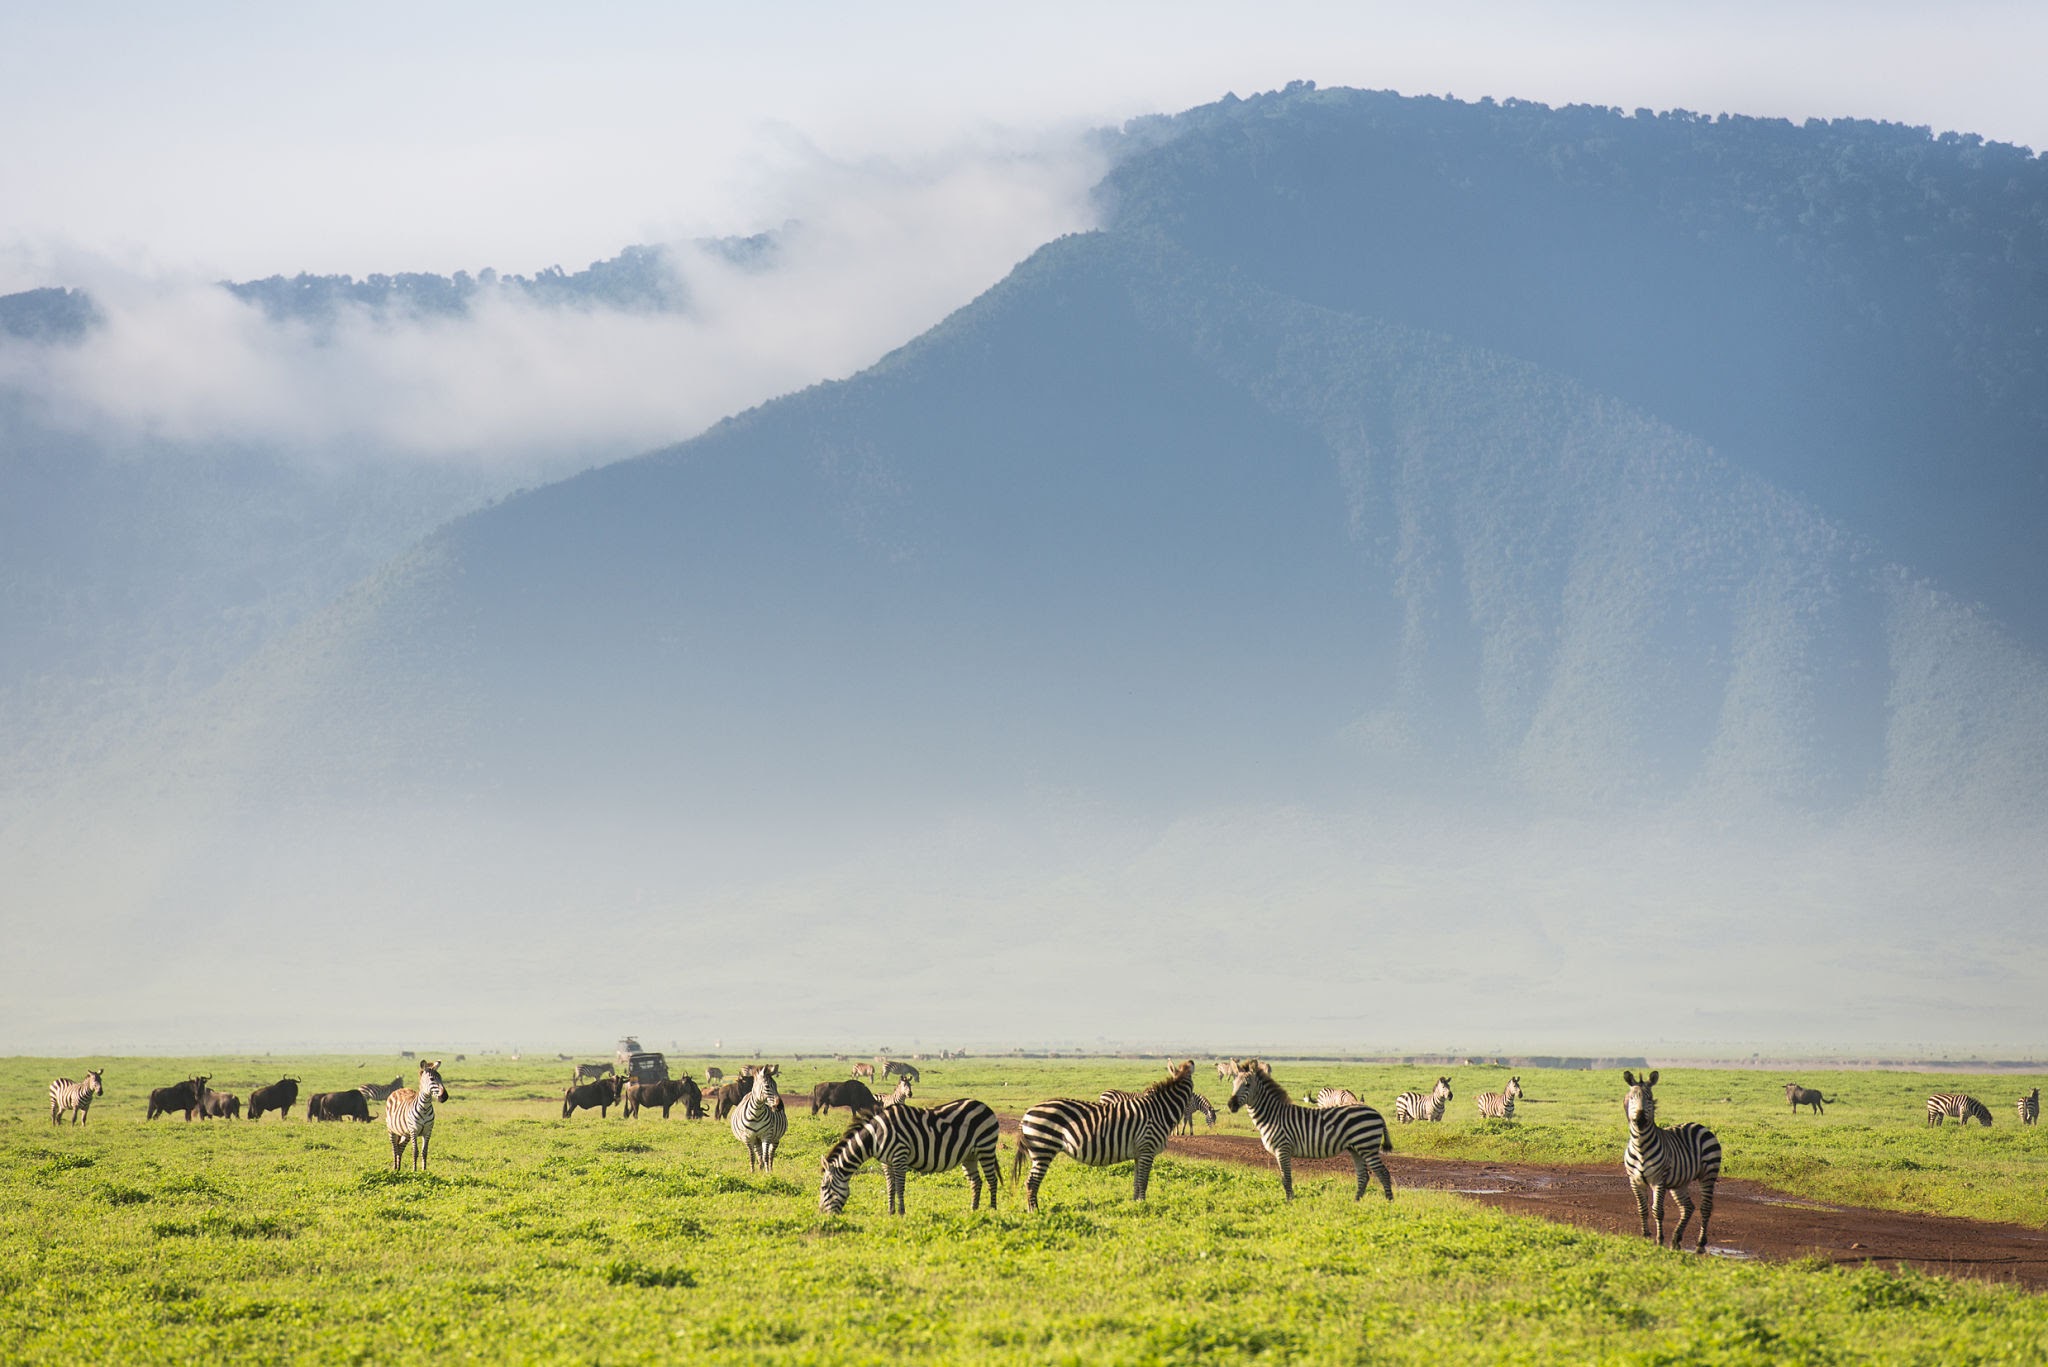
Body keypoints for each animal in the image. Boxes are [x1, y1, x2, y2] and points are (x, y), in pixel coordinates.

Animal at [819, 1098, 1003, 1221]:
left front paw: (901, 1213)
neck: (875, 1136)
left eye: (823, 1187)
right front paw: (890, 1212)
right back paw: (974, 1210)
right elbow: (890, 1187)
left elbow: (900, 1187)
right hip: (969, 1155)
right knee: (976, 1181)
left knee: (992, 1180)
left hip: (986, 1148)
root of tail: (984, 1106)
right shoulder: (886, 1162)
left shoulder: (900, 1156)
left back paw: (993, 1209)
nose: (821, 1214)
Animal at [1011, 1057, 1196, 1205]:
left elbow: (1137, 1181)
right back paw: (1034, 1212)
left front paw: (1134, 1204)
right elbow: (1144, 1182)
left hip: (1039, 1150)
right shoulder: (1147, 1149)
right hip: (1043, 1148)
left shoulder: (1139, 1153)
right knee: (1032, 1182)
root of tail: (1027, 1113)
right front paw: (1143, 1205)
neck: (1159, 1110)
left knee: (1030, 1181)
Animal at [1220, 1065, 1400, 1205]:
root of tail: (1376, 1113)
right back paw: (1355, 1202)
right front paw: (1290, 1201)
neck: (1272, 1115)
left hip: (1367, 1147)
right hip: (1356, 1148)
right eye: (1234, 1084)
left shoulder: (1283, 1149)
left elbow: (1286, 1178)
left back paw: (1389, 1202)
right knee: (1363, 1176)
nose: (1231, 1105)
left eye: (1247, 1084)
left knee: (1383, 1173)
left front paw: (1289, 1203)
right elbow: (1285, 1178)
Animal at [1622, 1073, 1720, 1254]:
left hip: (1708, 1174)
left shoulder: (1658, 1180)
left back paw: (1700, 1243)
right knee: (1688, 1207)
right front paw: (1645, 1236)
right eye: (1632, 1098)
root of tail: (1698, 1125)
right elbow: (1642, 1209)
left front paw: (1659, 1239)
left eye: (1649, 1097)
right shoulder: (1634, 1181)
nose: (1640, 1119)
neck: (1640, 1145)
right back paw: (1676, 1239)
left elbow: (1658, 1211)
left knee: (1705, 1208)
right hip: (1680, 1182)